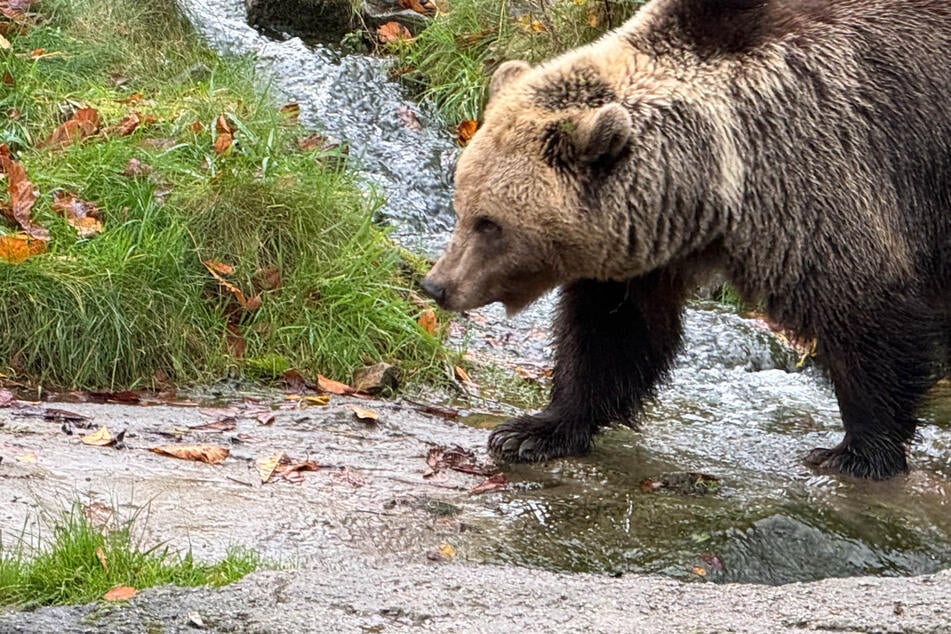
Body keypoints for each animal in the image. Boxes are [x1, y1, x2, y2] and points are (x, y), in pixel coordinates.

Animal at [422, 0, 951, 476]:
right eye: (461, 204)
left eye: (489, 223)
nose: (437, 285)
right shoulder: (646, 241)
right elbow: (615, 332)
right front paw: (533, 431)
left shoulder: (824, 167)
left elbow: (864, 312)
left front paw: (858, 451)